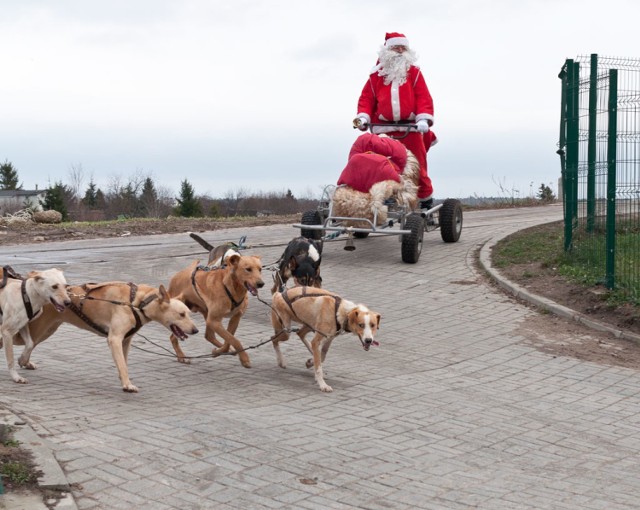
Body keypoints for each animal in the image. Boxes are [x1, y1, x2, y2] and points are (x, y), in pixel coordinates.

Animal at [14, 280, 198, 392]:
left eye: (189, 313)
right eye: (181, 314)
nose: (196, 330)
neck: (137, 302)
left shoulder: (126, 340)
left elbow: (123, 363)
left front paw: (124, 380)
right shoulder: (114, 339)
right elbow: (123, 365)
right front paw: (127, 385)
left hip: (48, 330)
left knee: (27, 350)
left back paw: (26, 362)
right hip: (40, 330)